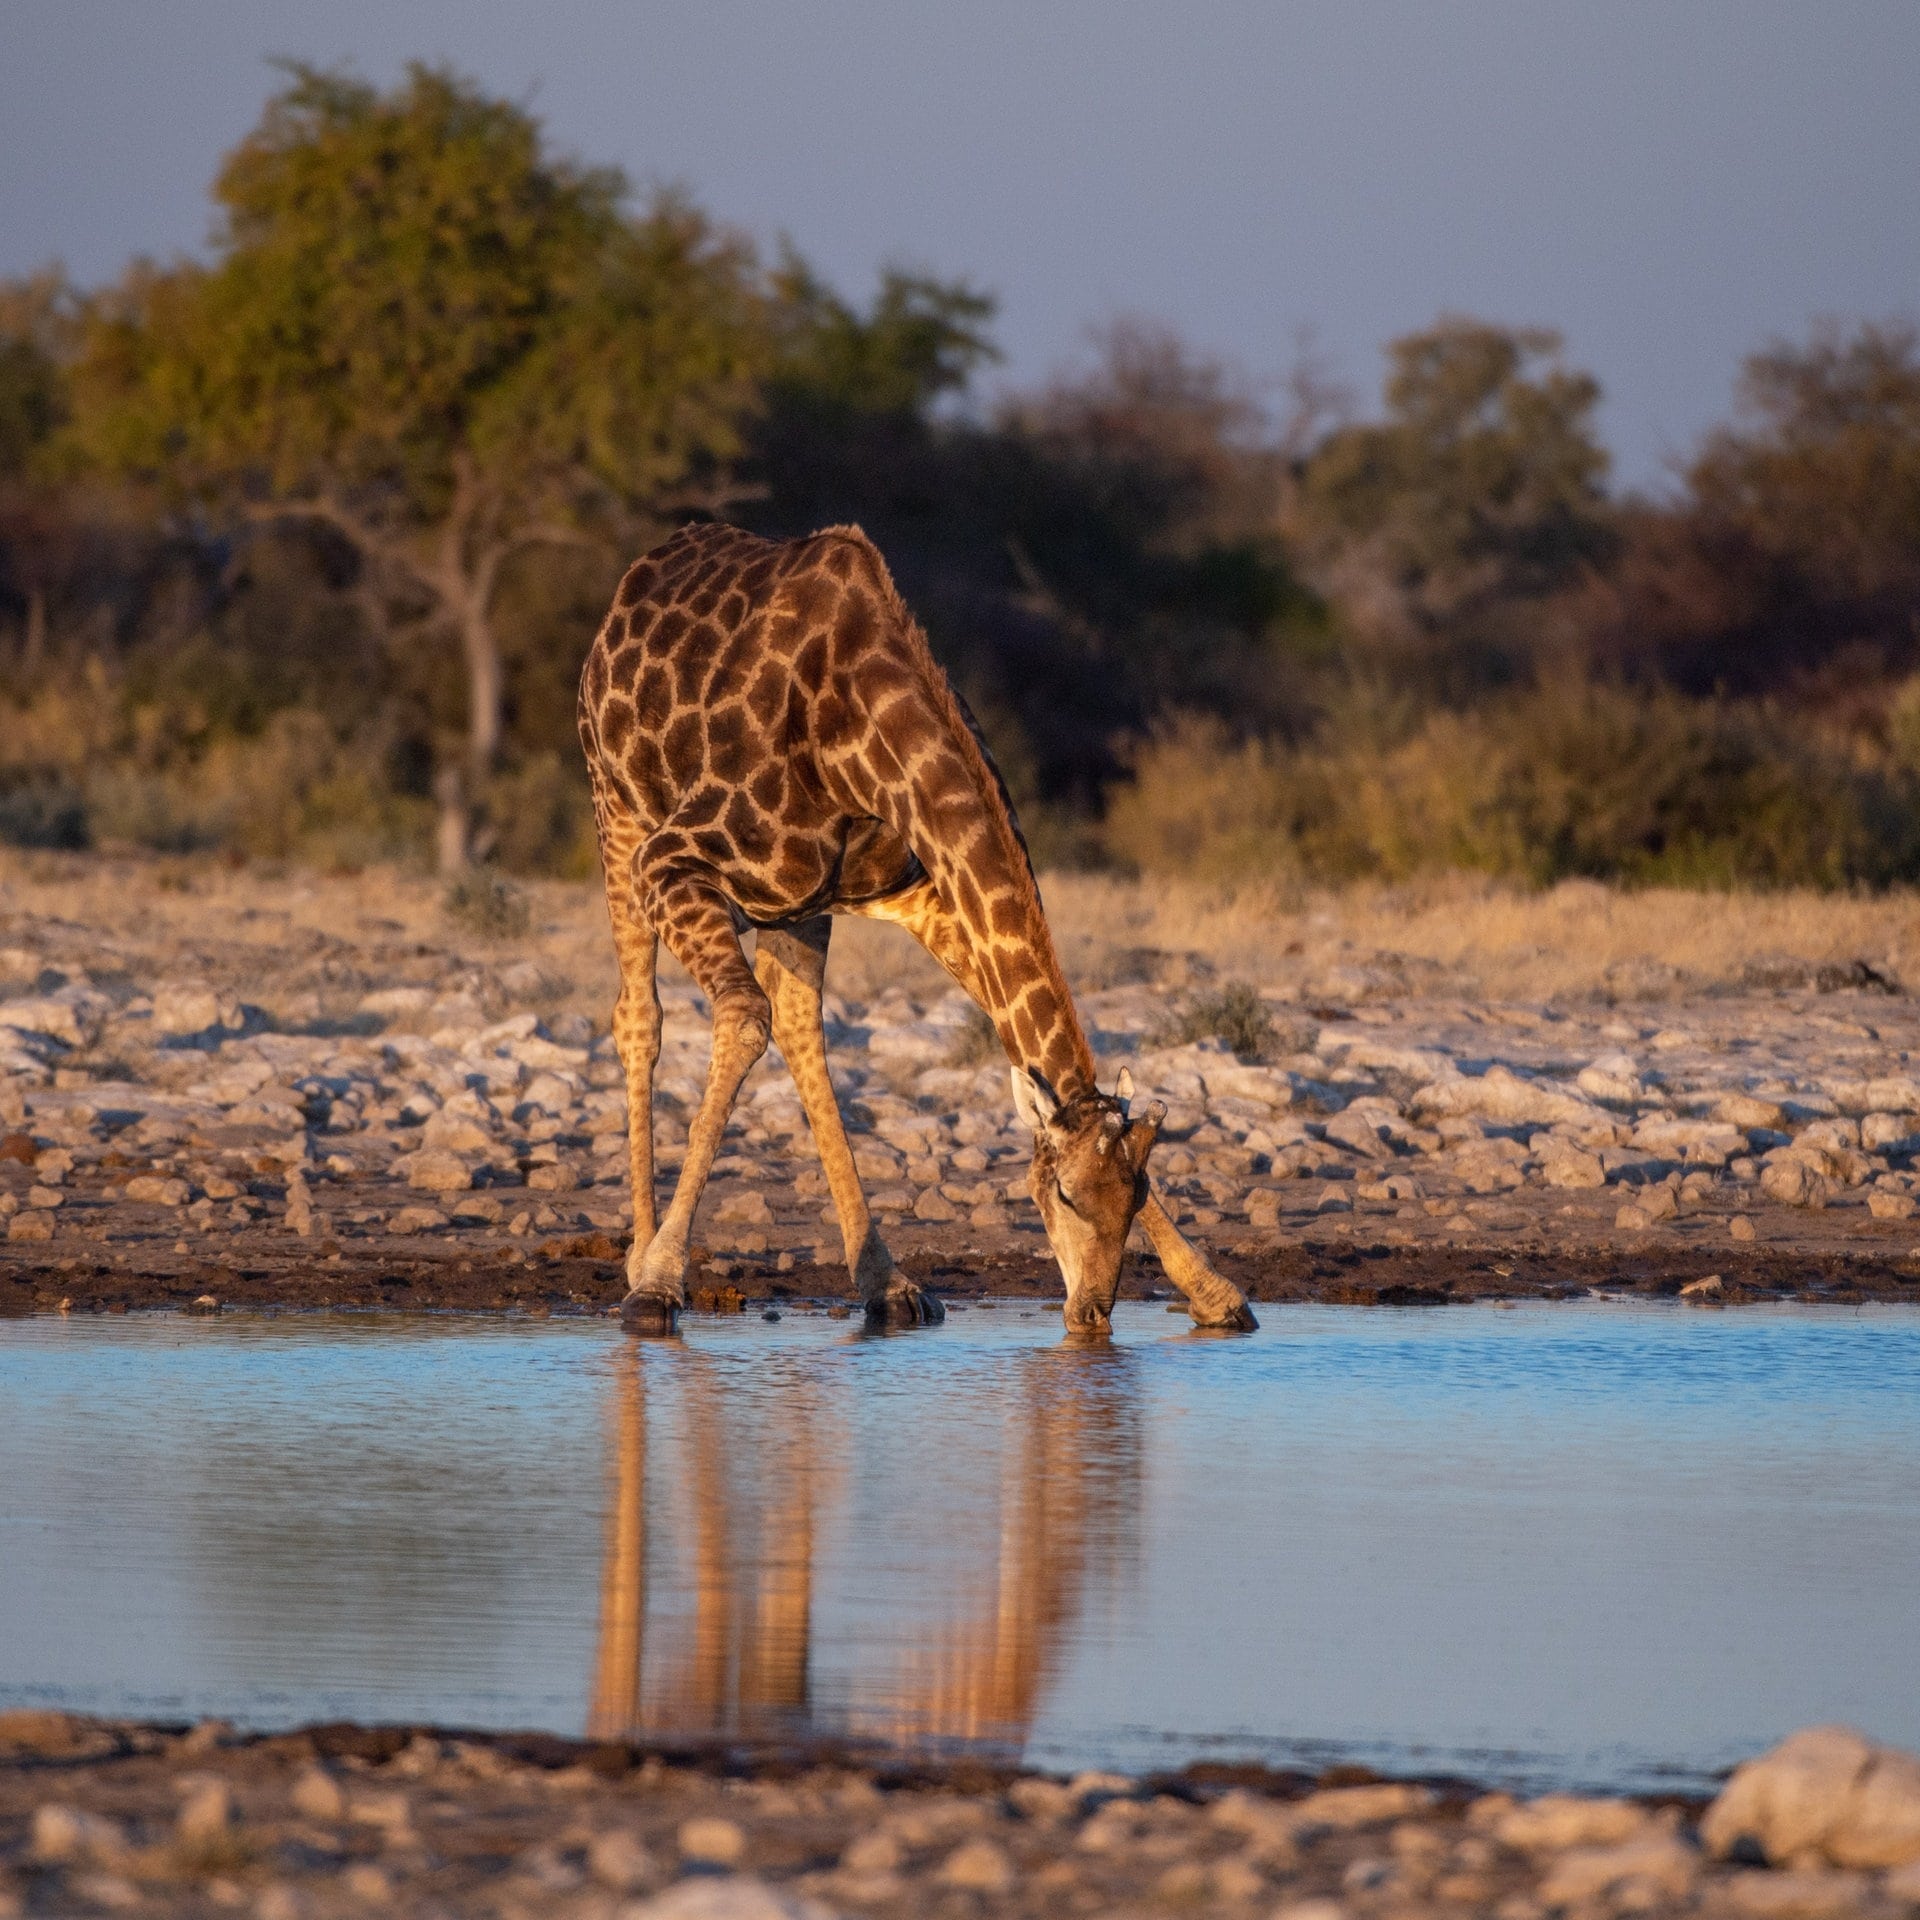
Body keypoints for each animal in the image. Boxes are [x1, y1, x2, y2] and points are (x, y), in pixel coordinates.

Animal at [572, 522, 1259, 1336]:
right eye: (1061, 1193)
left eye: (1140, 1194)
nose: (1092, 1313)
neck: (857, 741)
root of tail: (632, 585)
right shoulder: (670, 860)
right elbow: (741, 1021)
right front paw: (657, 1285)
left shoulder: (921, 889)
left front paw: (1216, 1293)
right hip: (617, 812)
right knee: (640, 1016)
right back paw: (639, 1258)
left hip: (798, 905)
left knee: (800, 1023)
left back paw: (887, 1280)